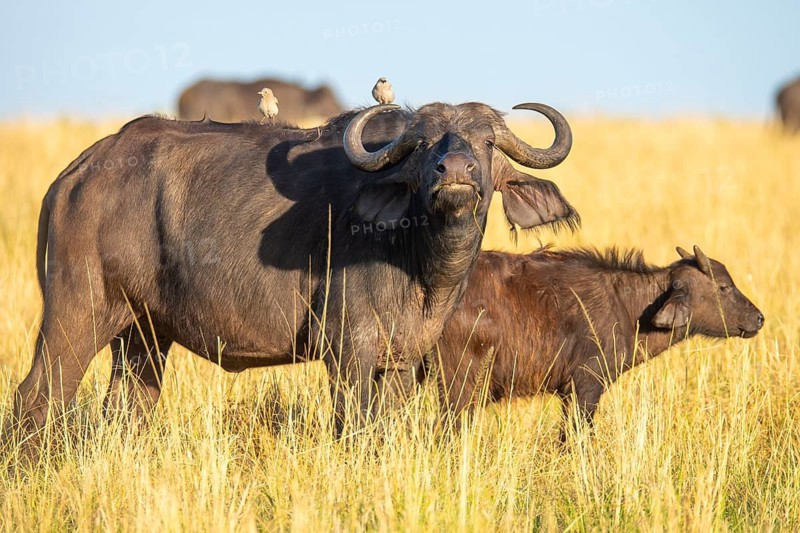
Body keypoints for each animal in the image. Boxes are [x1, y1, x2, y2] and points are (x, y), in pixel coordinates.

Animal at [7, 101, 578, 442]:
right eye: (423, 145)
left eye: (487, 143)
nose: (454, 171)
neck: (420, 265)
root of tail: (76, 174)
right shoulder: (347, 355)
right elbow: (354, 429)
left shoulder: (400, 363)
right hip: (77, 315)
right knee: (37, 397)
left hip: (142, 337)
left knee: (128, 409)